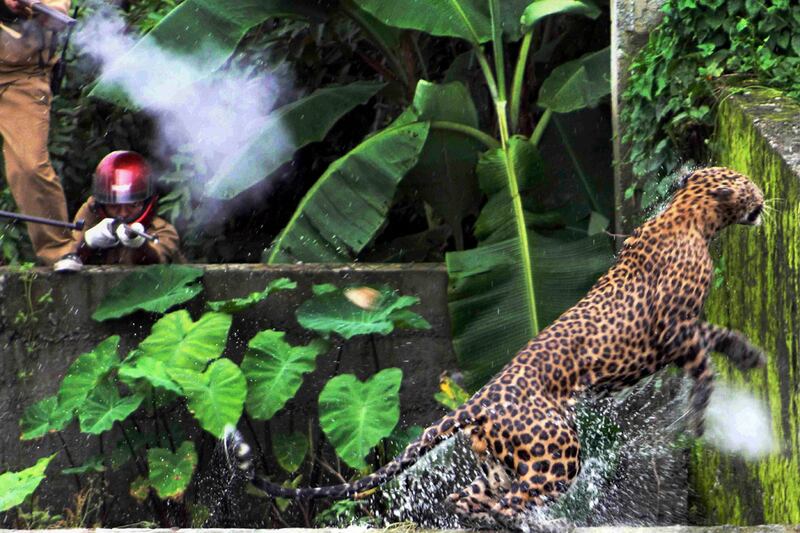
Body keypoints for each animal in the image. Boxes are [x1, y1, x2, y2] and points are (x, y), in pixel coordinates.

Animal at [228, 166, 767, 528]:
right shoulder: (674, 330)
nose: (765, 196)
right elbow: (703, 361)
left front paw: (749, 354)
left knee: (467, 499)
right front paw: (701, 415)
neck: (690, 216)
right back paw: (530, 523)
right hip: (557, 453)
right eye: (748, 185)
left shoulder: (685, 329)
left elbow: (717, 335)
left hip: (500, 462)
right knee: (516, 499)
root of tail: (480, 400)